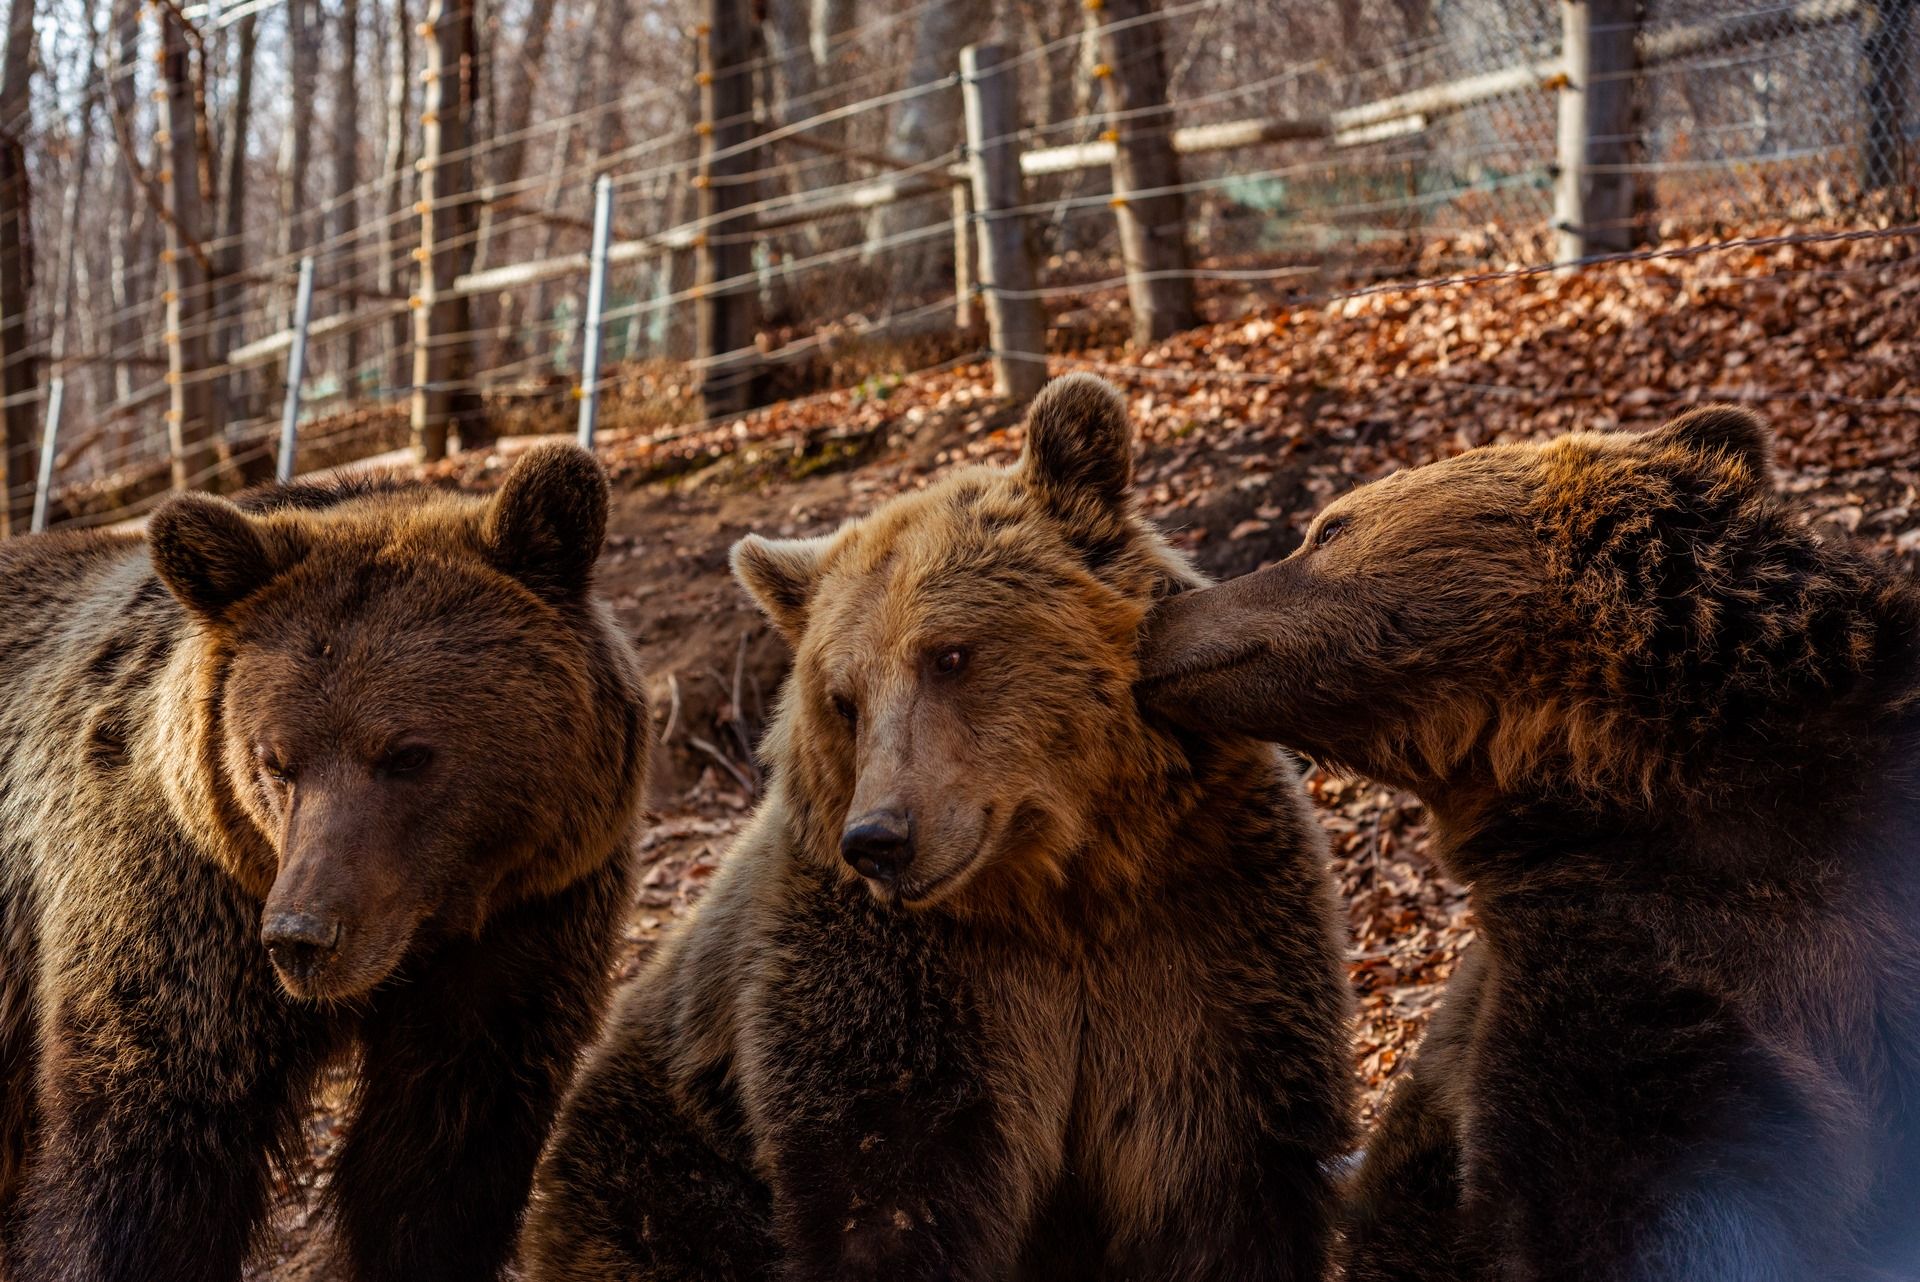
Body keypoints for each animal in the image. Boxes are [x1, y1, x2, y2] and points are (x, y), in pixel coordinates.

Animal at [0, 443, 652, 1282]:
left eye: (408, 754)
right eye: (275, 760)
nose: (303, 935)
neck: (423, 931)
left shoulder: (525, 921)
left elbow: (441, 1156)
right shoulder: (183, 906)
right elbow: (145, 1159)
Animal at [518, 372, 1359, 1282]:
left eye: (949, 655)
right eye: (843, 699)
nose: (880, 840)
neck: (1060, 887)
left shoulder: (1200, 927)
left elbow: (1225, 1176)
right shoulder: (901, 984)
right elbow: (887, 1187)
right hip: (655, 1168)